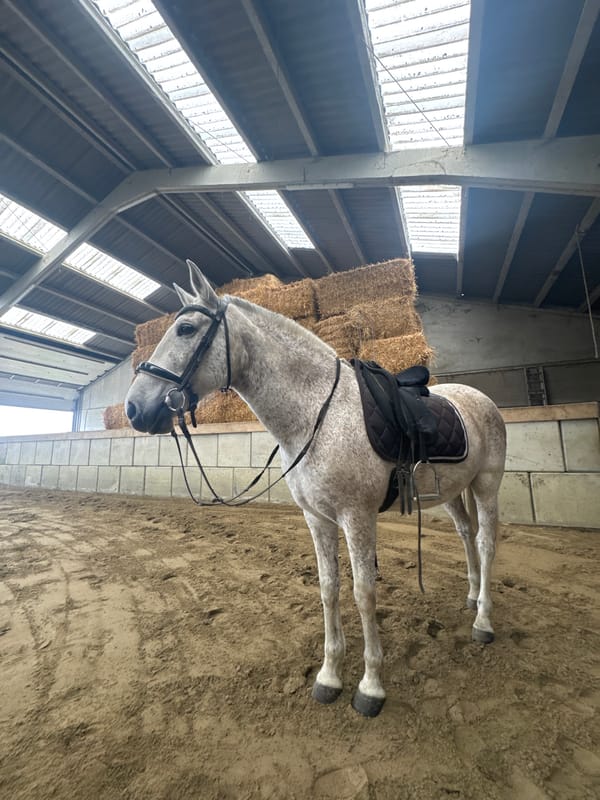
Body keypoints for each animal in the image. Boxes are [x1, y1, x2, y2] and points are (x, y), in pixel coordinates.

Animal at [125, 260, 506, 717]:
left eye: (185, 329)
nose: (133, 408)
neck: (317, 414)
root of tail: (478, 397)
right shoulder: (318, 519)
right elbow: (329, 589)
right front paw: (329, 676)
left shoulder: (356, 518)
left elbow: (363, 592)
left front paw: (370, 686)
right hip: (449, 493)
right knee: (466, 534)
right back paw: (471, 596)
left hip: (487, 484)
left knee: (485, 542)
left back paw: (483, 621)